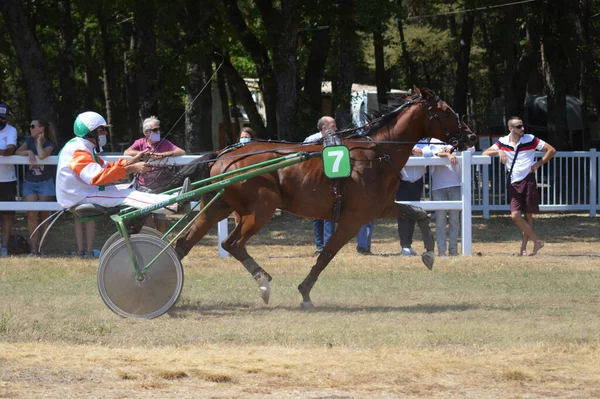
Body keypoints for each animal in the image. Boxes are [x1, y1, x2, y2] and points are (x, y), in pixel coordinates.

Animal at [156, 88, 478, 310]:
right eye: (447, 111)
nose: (472, 136)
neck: (376, 152)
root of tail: (225, 154)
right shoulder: (352, 219)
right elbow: (326, 255)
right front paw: (305, 292)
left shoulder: (381, 208)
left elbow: (418, 213)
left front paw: (429, 253)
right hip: (260, 209)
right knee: (231, 243)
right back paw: (262, 283)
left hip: (220, 206)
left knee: (184, 244)